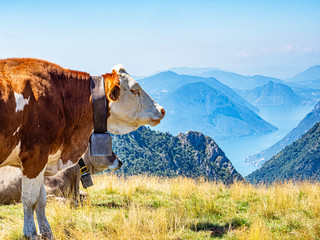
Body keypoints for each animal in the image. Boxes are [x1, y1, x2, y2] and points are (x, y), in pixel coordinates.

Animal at [0, 58, 165, 240]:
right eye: (135, 90)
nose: (162, 110)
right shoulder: (35, 157)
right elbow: (32, 200)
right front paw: (31, 233)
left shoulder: (43, 161)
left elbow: (42, 201)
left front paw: (47, 232)